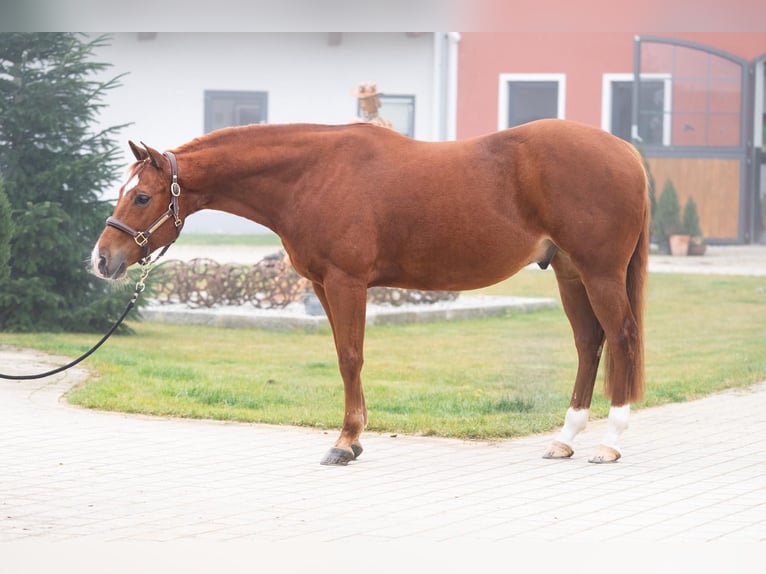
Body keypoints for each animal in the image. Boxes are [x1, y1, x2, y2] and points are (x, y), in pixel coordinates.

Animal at [92, 118, 649, 466]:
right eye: (124, 191)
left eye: (142, 197)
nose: (101, 259)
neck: (313, 174)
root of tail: (626, 151)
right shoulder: (322, 285)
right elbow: (345, 354)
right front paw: (353, 440)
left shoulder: (346, 281)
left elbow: (351, 357)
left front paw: (345, 442)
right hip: (570, 274)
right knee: (589, 344)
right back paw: (564, 439)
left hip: (600, 273)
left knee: (621, 338)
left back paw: (611, 443)